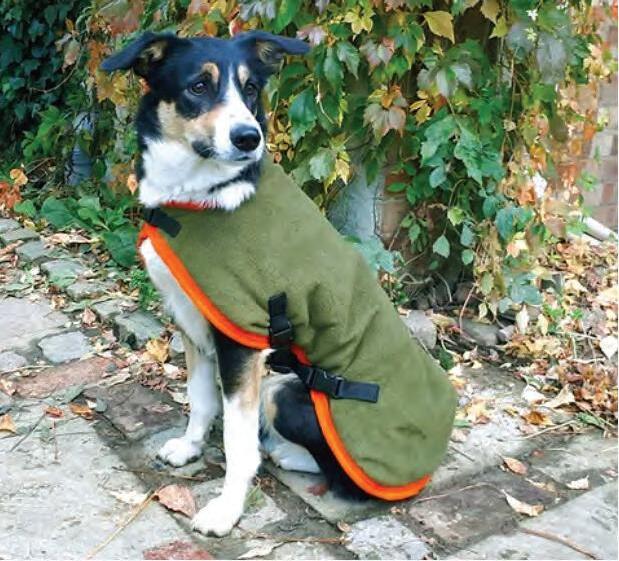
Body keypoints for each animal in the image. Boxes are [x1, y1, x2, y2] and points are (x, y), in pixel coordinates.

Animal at [101, 30, 456, 537]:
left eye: (251, 89)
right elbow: (199, 399)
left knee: (340, 478)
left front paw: (226, 510)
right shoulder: (193, 323)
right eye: (198, 86)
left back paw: (284, 453)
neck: (200, 197)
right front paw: (189, 447)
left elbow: (237, 441)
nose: (249, 137)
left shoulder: (241, 342)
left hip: (285, 392)